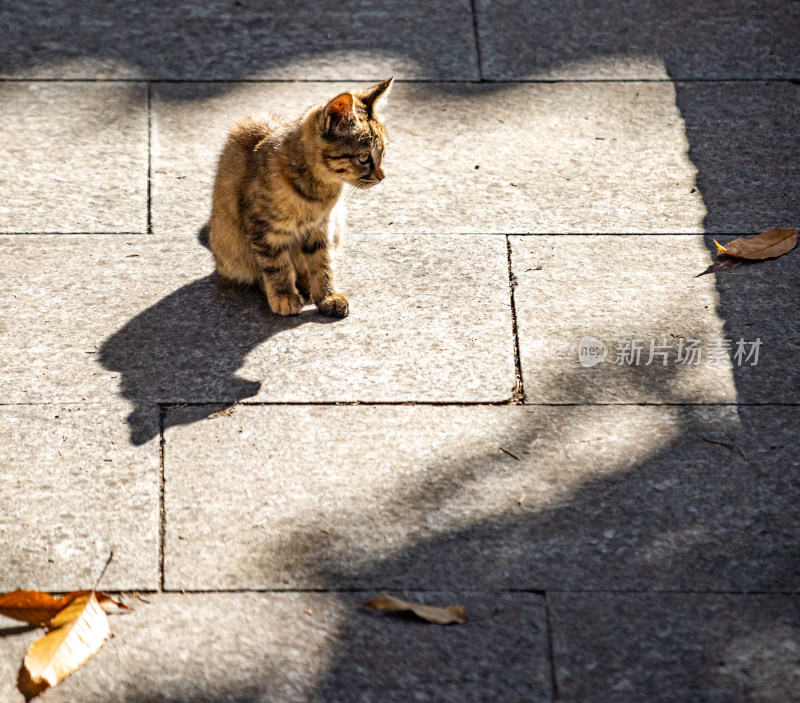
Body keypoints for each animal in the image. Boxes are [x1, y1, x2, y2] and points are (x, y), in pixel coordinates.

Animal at [206, 78, 394, 318]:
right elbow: (276, 265)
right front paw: (284, 295)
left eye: (383, 153)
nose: (382, 176)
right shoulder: (263, 228)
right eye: (363, 157)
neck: (318, 191)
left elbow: (323, 263)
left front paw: (327, 296)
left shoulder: (322, 227)